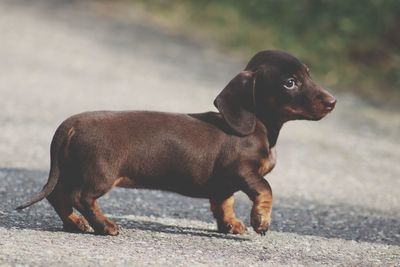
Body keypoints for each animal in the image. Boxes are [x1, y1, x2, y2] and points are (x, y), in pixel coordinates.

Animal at [16, 50, 334, 237]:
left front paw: (231, 224)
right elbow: (266, 189)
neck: (260, 127)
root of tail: (70, 124)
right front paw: (261, 221)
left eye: (308, 74)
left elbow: (225, 203)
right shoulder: (243, 171)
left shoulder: (224, 184)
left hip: (73, 170)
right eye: (290, 82)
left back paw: (75, 223)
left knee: (59, 197)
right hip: (99, 175)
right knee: (81, 197)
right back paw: (104, 226)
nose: (333, 102)